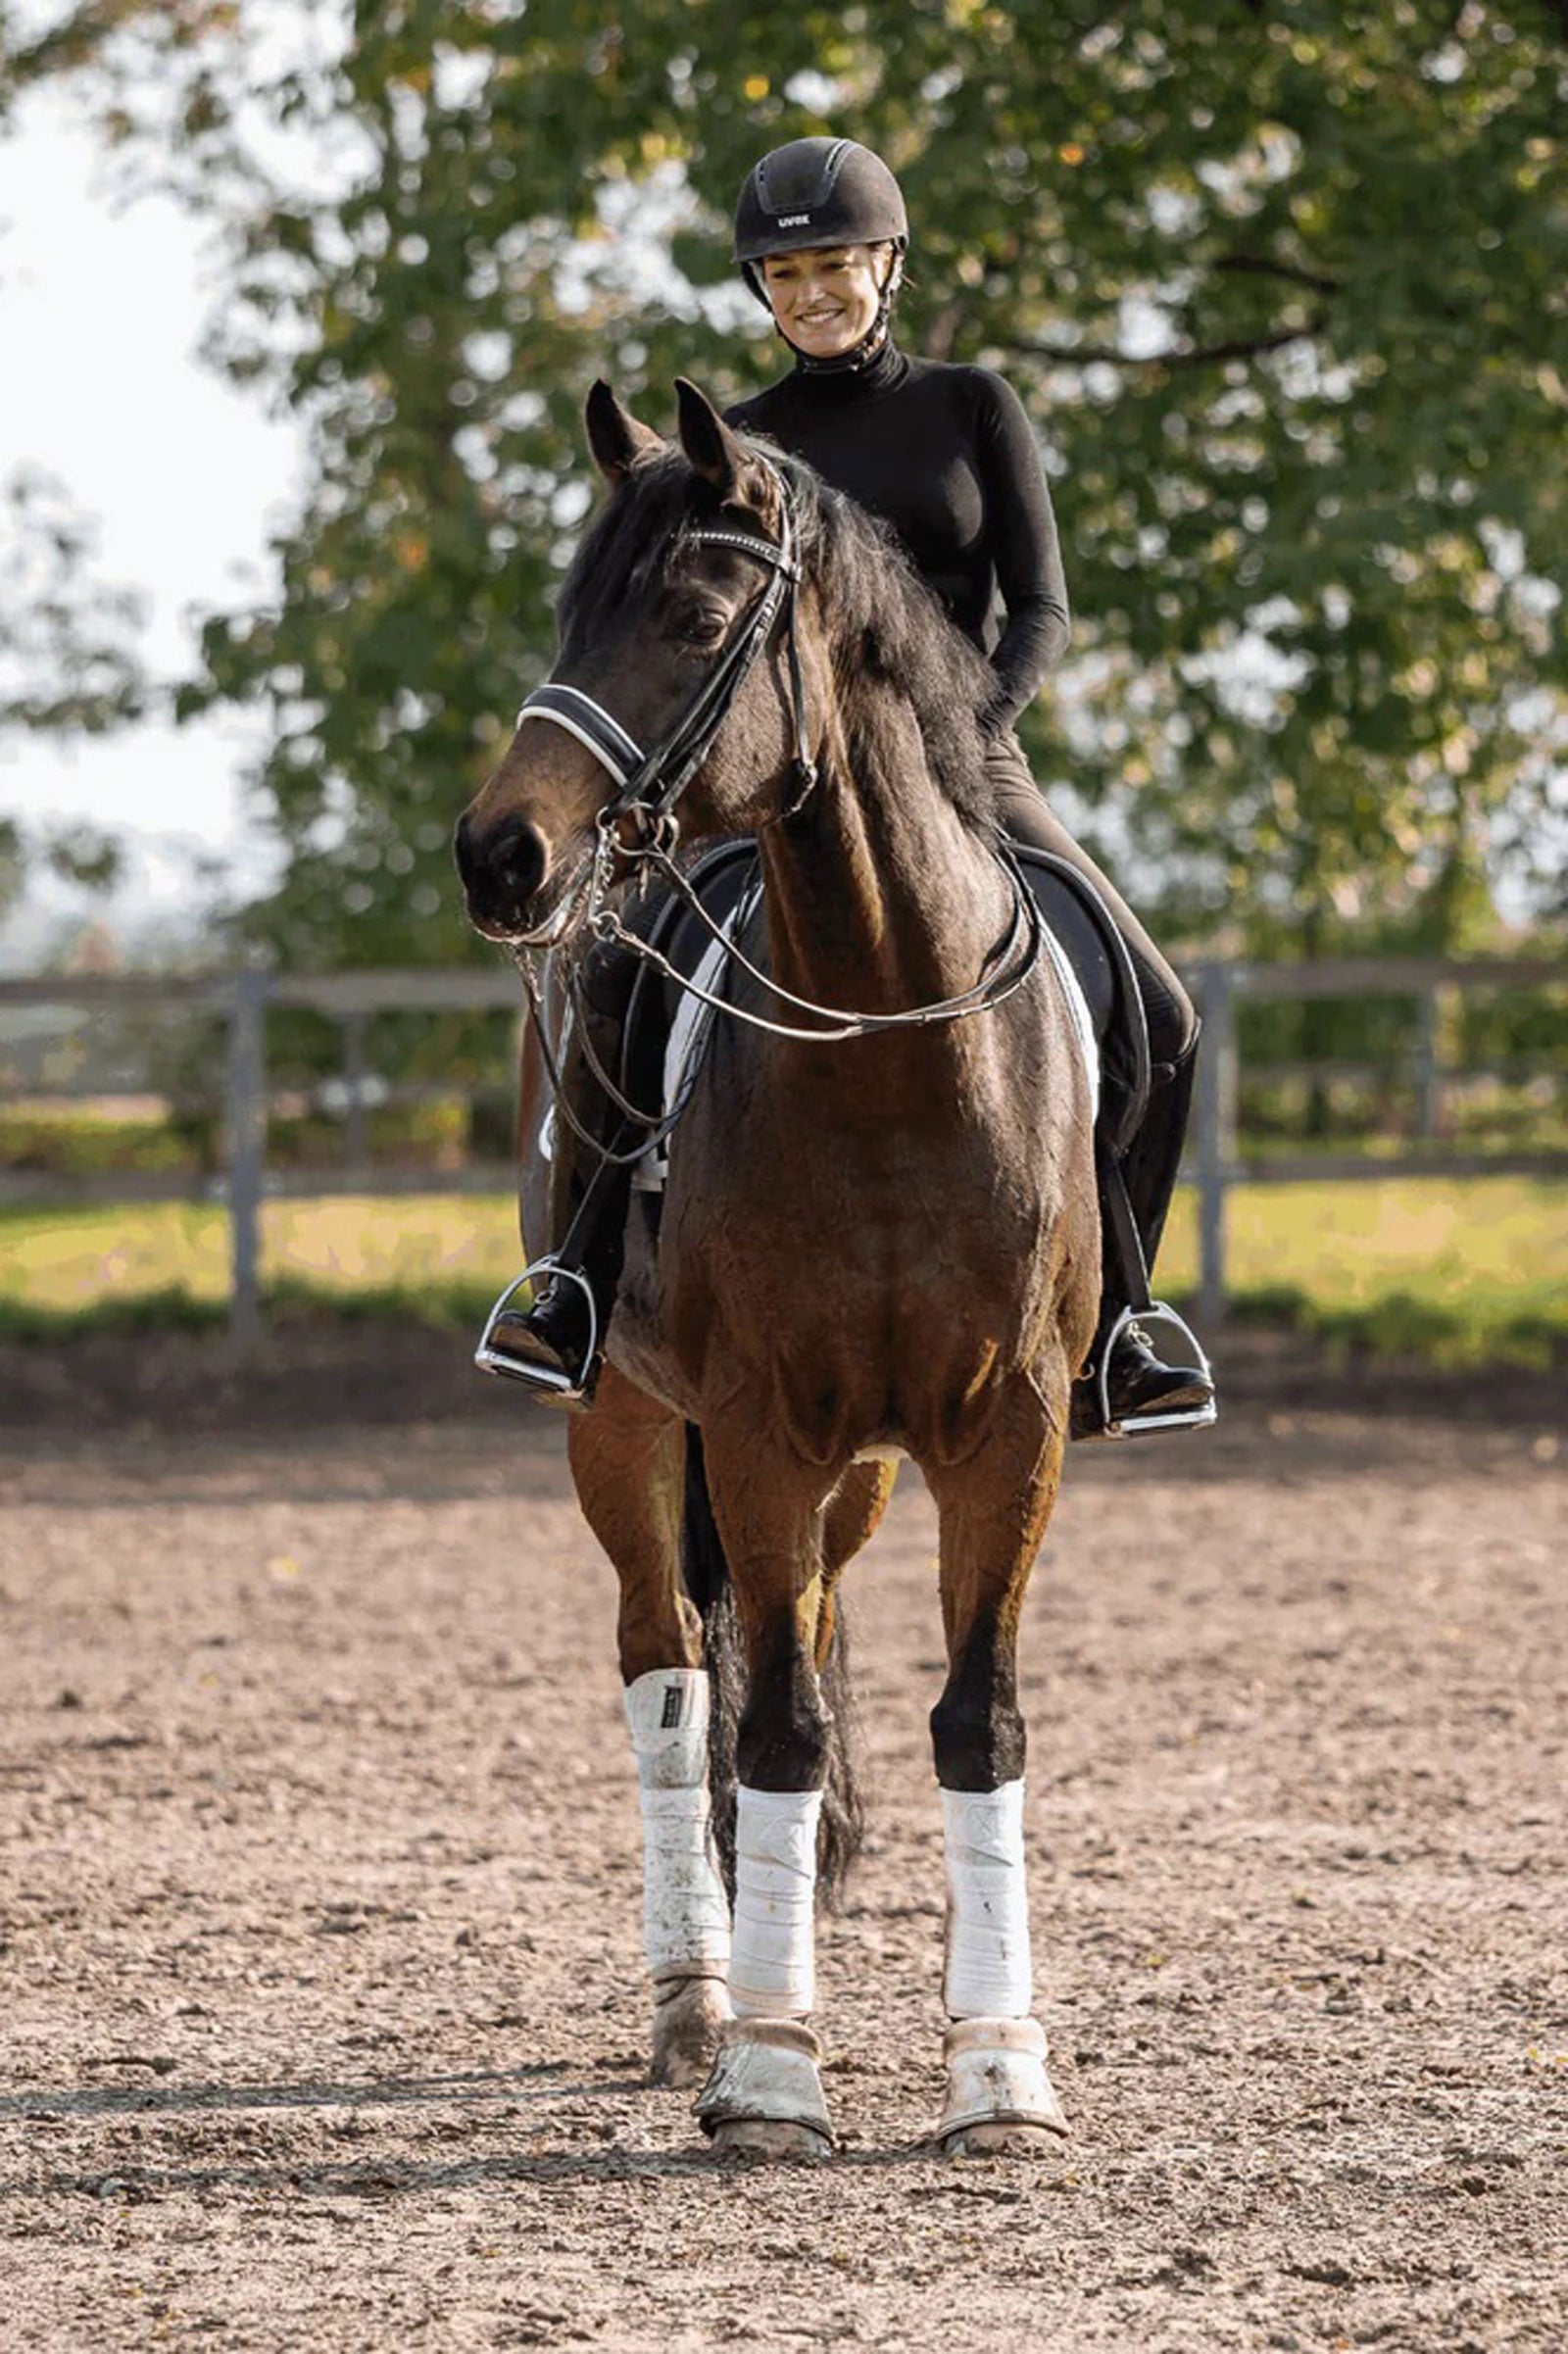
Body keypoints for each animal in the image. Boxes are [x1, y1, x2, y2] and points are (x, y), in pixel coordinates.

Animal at [453, 378, 1100, 2158]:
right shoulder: (750, 1426)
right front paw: (767, 2072)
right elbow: (776, 1722)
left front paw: (999, 2071)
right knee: (674, 1674)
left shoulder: (1007, 1432)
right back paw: (697, 1996)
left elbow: (975, 1716)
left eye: (688, 617)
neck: (887, 1041)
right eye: (568, 612)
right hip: (619, 1418)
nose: (499, 857)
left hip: (862, 1476)